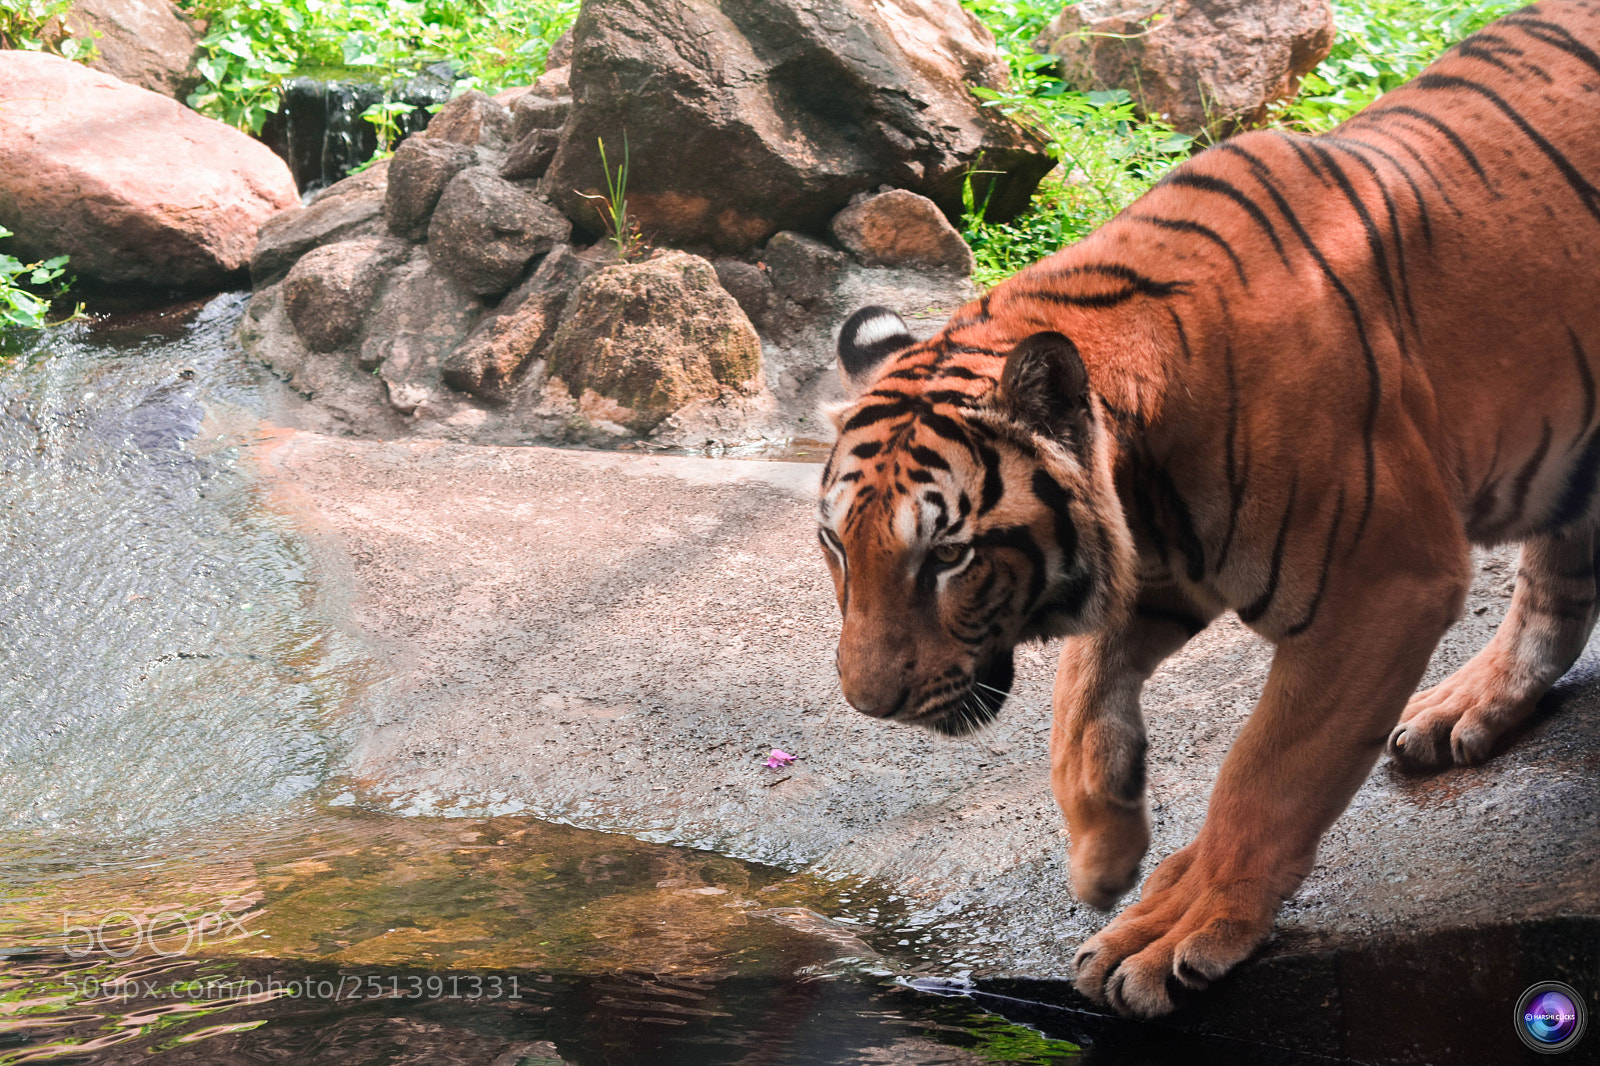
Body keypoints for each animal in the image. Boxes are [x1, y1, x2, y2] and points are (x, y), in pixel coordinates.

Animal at [815, 0, 1600, 1019]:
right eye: (837, 546)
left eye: (947, 557)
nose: (870, 706)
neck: (1143, 473)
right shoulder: (1152, 567)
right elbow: (1077, 703)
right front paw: (1104, 858)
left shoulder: (1383, 586)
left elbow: (1268, 772)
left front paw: (1175, 930)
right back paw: (1467, 704)